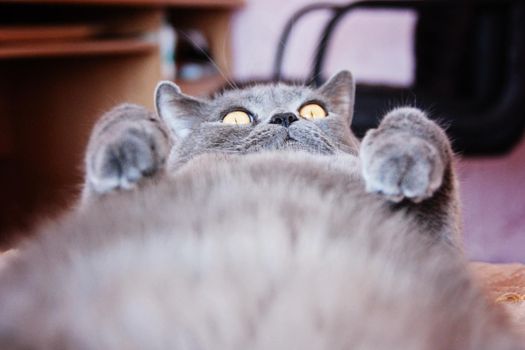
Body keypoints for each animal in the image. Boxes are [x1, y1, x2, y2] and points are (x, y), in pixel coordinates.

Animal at [0, 69, 520, 348]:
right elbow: (117, 113)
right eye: (235, 117)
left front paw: (400, 160)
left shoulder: (438, 239)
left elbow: (415, 118)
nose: (285, 117)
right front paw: (127, 150)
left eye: (313, 111)